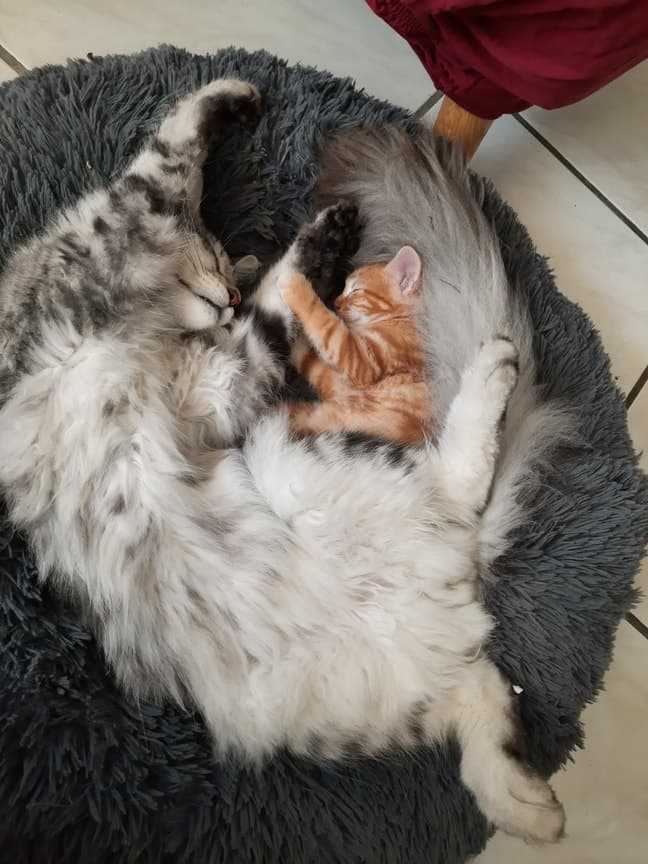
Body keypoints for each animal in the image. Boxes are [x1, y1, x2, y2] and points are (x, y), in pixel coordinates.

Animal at [279, 245, 433, 443]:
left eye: (355, 291)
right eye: (344, 289)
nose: (335, 303)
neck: (400, 320)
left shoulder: (365, 362)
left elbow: (326, 324)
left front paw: (296, 286)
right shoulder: (341, 385)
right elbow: (312, 363)